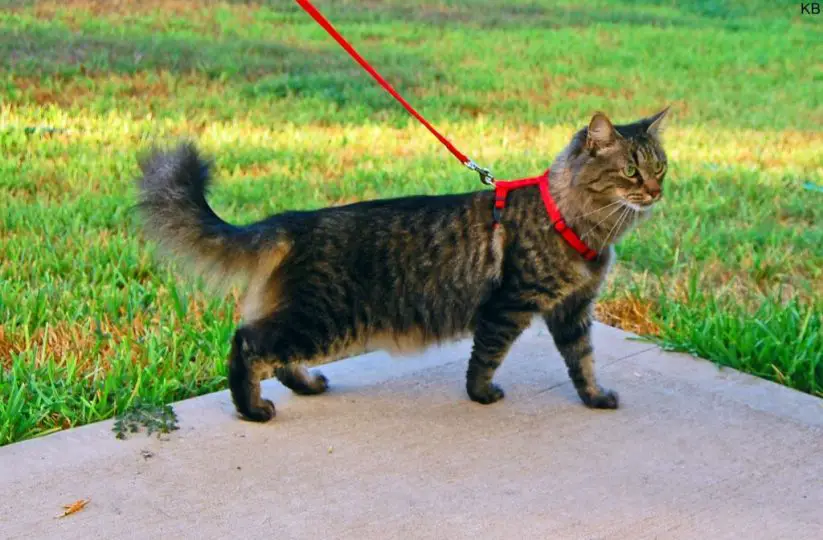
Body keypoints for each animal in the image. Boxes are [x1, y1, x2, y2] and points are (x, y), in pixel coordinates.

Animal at [137, 109, 668, 422]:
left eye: (660, 165)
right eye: (630, 171)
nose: (657, 191)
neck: (579, 224)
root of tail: (294, 220)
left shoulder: (572, 310)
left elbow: (583, 361)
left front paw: (595, 397)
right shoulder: (509, 306)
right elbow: (486, 357)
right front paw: (481, 395)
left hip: (314, 320)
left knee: (277, 356)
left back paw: (307, 386)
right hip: (324, 320)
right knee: (248, 343)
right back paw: (252, 409)